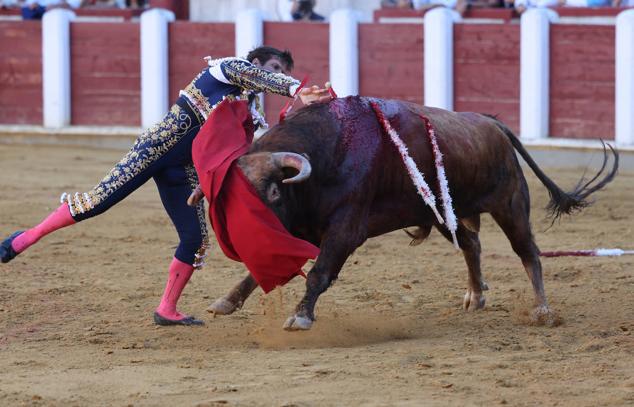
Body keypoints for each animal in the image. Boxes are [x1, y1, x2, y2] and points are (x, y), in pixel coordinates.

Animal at [205, 96, 616, 332]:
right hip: (446, 212)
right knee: (472, 243)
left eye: (273, 191)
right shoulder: (298, 228)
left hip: (510, 203)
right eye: (228, 201)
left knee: (528, 252)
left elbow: (319, 272)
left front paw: (300, 316)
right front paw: (226, 300)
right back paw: (475, 296)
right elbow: (262, 270)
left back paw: (542, 311)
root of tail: (492, 123)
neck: (325, 157)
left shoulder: (345, 229)